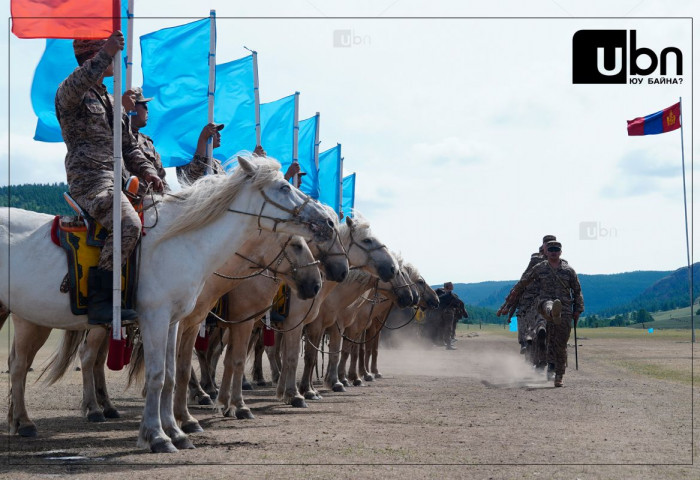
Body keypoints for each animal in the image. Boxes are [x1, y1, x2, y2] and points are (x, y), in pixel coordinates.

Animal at [1, 158, 336, 454]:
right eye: (283, 187)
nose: (329, 222)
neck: (178, 243)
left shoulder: (175, 321)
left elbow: (174, 375)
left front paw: (176, 430)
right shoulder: (156, 317)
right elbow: (157, 375)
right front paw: (157, 436)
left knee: (20, 364)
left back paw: (22, 422)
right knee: (25, 365)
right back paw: (39, 419)